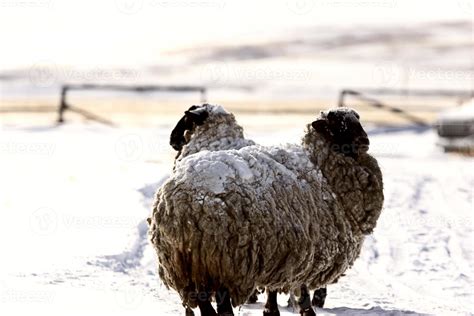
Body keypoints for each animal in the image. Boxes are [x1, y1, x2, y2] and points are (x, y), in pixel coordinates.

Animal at [149, 107, 386, 316]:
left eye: (357, 119)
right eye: (338, 124)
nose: (364, 141)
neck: (323, 172)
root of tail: (180, 202)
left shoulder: (283, 253)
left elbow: (278, 288)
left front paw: (274, 310)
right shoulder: (300, 251)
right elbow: (299, 291)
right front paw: (299, 310)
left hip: (193, 266)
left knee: (207, 305)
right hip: (221, 260)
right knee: (221, 307)